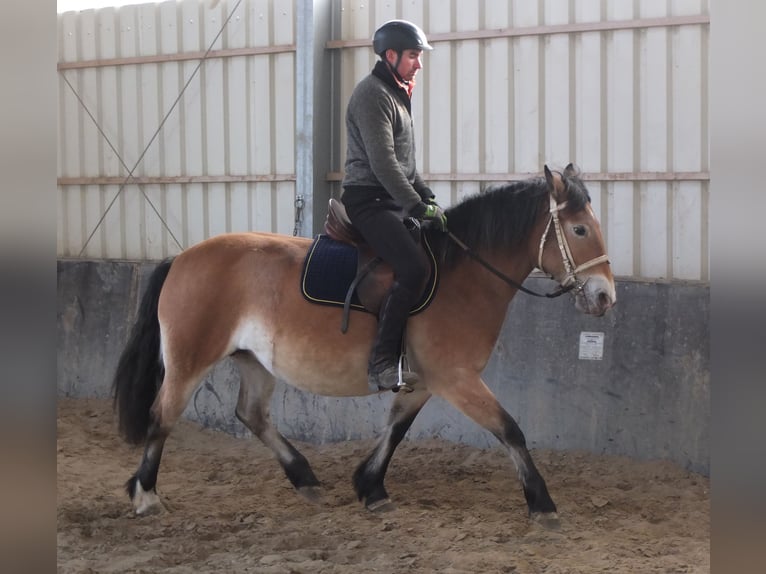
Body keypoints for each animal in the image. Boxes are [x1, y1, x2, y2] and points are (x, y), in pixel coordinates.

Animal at [112, 163, 616, 528]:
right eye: (580, 231)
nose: (604, 297)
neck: (464, 274)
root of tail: (182, 258)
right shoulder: (456, 379)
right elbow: (510, 430)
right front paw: (542, 503)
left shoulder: (424, 381)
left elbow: (396, 429)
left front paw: (371, 488)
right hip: (190, 359)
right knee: (163, 416)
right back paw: (146, 495)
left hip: (254, 360)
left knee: (251, 414)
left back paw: (305, 479)